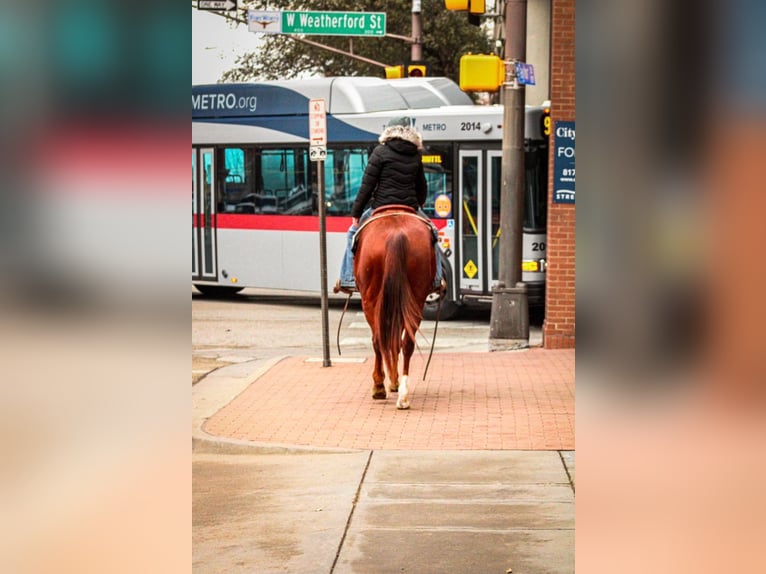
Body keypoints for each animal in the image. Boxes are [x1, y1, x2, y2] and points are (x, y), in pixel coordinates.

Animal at [356, 206, 438, 410]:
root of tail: (396, 235)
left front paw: (385, 383)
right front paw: (394, 381)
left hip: (370, 299)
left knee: (378, 339)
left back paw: (380, 386)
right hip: (416, 298)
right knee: (406, 342)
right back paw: (403, 394)